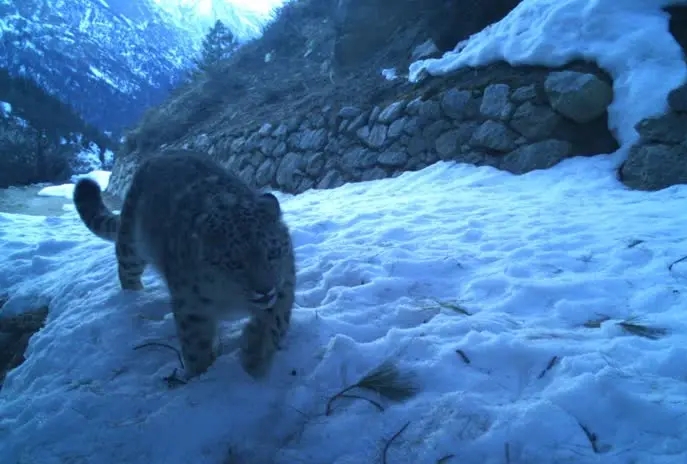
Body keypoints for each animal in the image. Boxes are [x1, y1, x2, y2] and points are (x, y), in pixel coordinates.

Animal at [72, 150, 296, 380]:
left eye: (273, 252)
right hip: (131, 246)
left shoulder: (285, 284)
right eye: (234, 263)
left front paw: (254, 358)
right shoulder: (191, 305)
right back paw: (134, 297)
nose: (265, 290)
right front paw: (201, 376)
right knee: (126, 270)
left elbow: (275, 321)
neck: (232, 299)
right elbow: (196, 345)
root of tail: (161, 154)